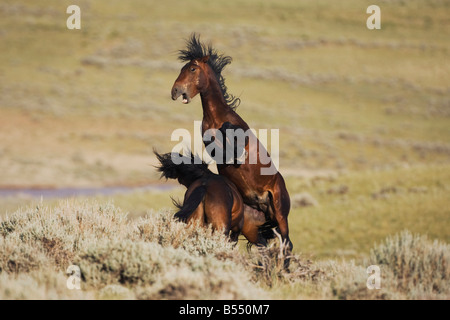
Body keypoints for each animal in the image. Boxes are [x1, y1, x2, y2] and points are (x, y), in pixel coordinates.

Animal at [171, 33, 294, 251]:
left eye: (192, 68)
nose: (175, 91)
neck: (216, 117)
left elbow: (233, 143)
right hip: (253, 224)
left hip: (281, 213)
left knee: (286, 244)